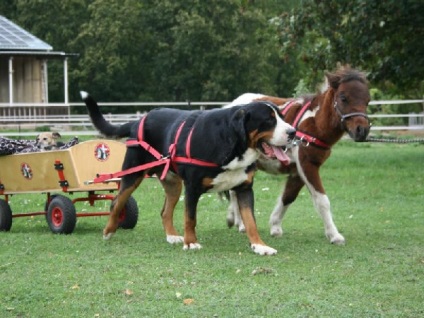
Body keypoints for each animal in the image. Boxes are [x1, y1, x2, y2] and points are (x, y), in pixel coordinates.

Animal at [80, 90, 294, 255]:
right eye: (268, 120)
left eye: (283, 118)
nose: (292, 133)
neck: (233, 144)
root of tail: (139, 120)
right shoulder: (192, 187)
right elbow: (190, 218)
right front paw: (191, 243)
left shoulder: (244, 188)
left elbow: (250, 221)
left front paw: (259, 246)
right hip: (133, 174)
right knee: (117, 202)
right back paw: (108, 231)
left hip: (173, 184)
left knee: (165, 211)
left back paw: (172, 236)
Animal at [227, 65, 370, 243]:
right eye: (343, 97)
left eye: (367, 100)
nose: (362, 130)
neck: (313, 126)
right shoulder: (308, 165)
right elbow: (322, 200)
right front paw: (334, 235)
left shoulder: (298, 171)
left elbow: (288, 197)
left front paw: (275, 226)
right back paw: (238, 222)